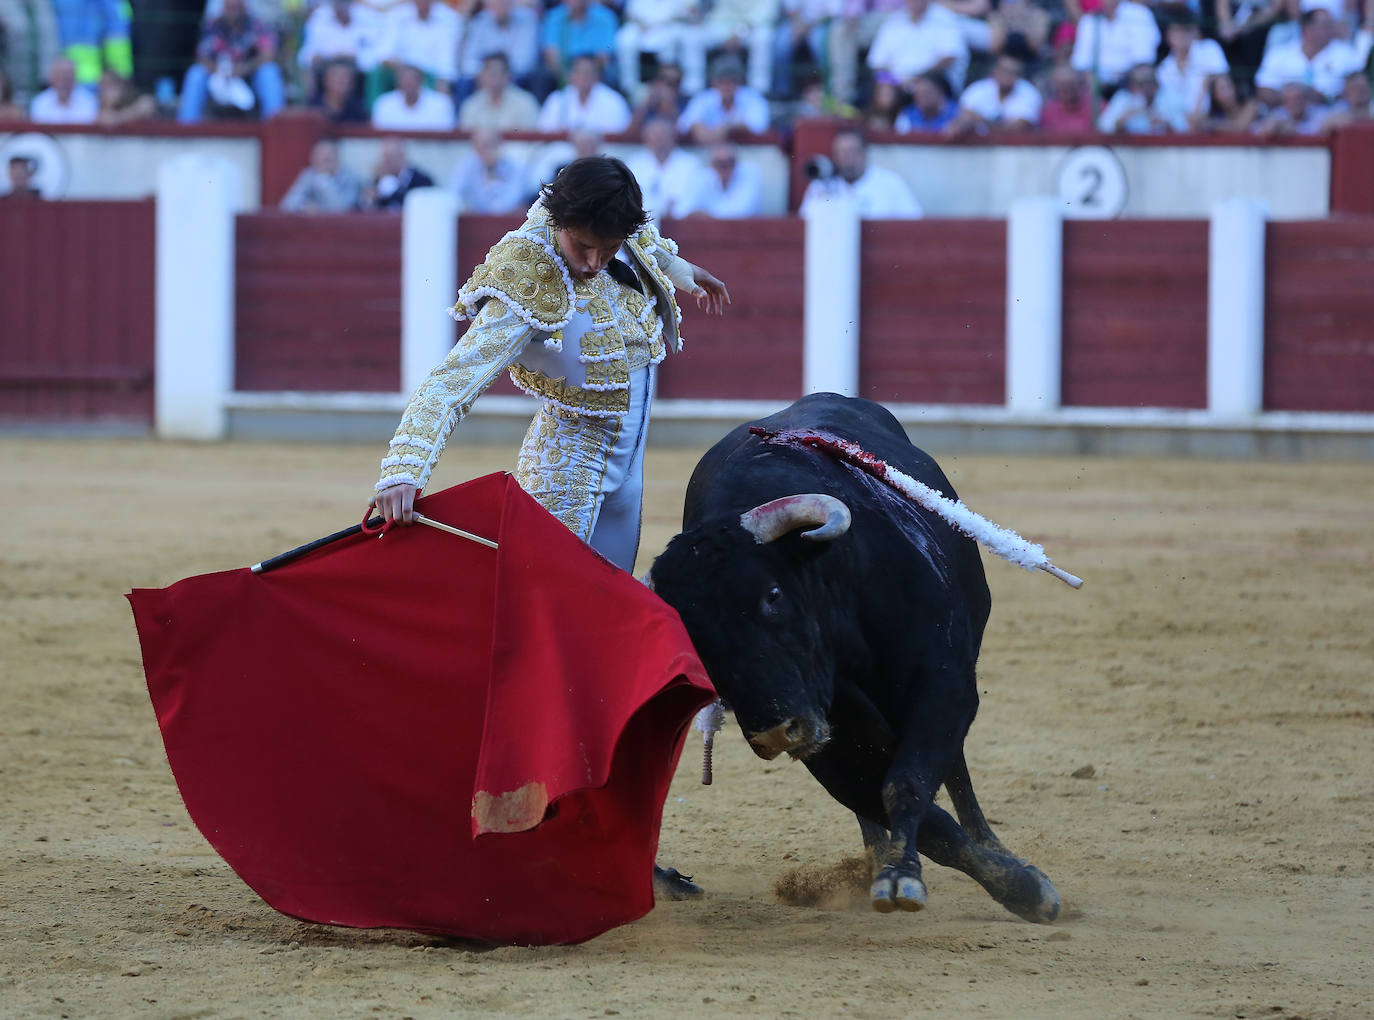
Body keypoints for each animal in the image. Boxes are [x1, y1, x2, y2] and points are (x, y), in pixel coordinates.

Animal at [648, 393, 1055, 929]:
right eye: (695, 640)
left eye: (773, 595)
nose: (773, 733)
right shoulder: (828, 743)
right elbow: (922, 819)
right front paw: (911, 873)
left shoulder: (944, 686)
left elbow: (908, 782)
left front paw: (1024, 887)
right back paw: (879, 857)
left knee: (954, 769)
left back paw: (992, 844)